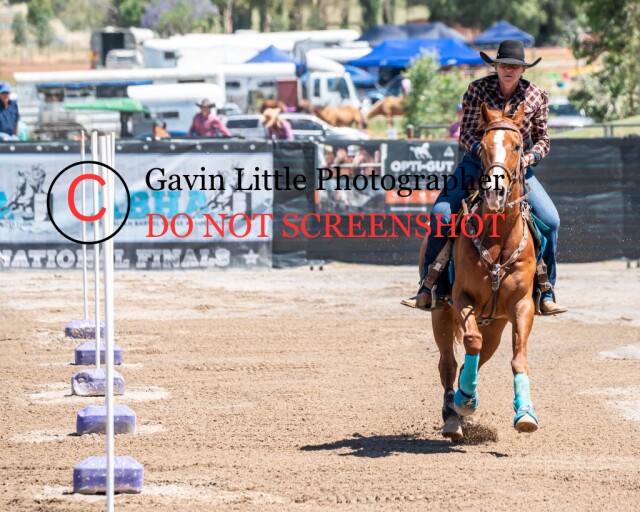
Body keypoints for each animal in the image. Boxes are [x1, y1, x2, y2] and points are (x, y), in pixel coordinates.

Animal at [422, 102, 539, 440]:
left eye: (518, 146)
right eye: (483, 146)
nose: (495, 192)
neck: (498, 240)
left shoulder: (522, 306)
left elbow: (518, 358)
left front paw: (525, 414)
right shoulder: (462, 298)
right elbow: (470, 341)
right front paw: (465, 400)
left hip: (496, 326)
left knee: (472, 360)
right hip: (440, 314)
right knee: (448, 364)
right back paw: (453, 413)